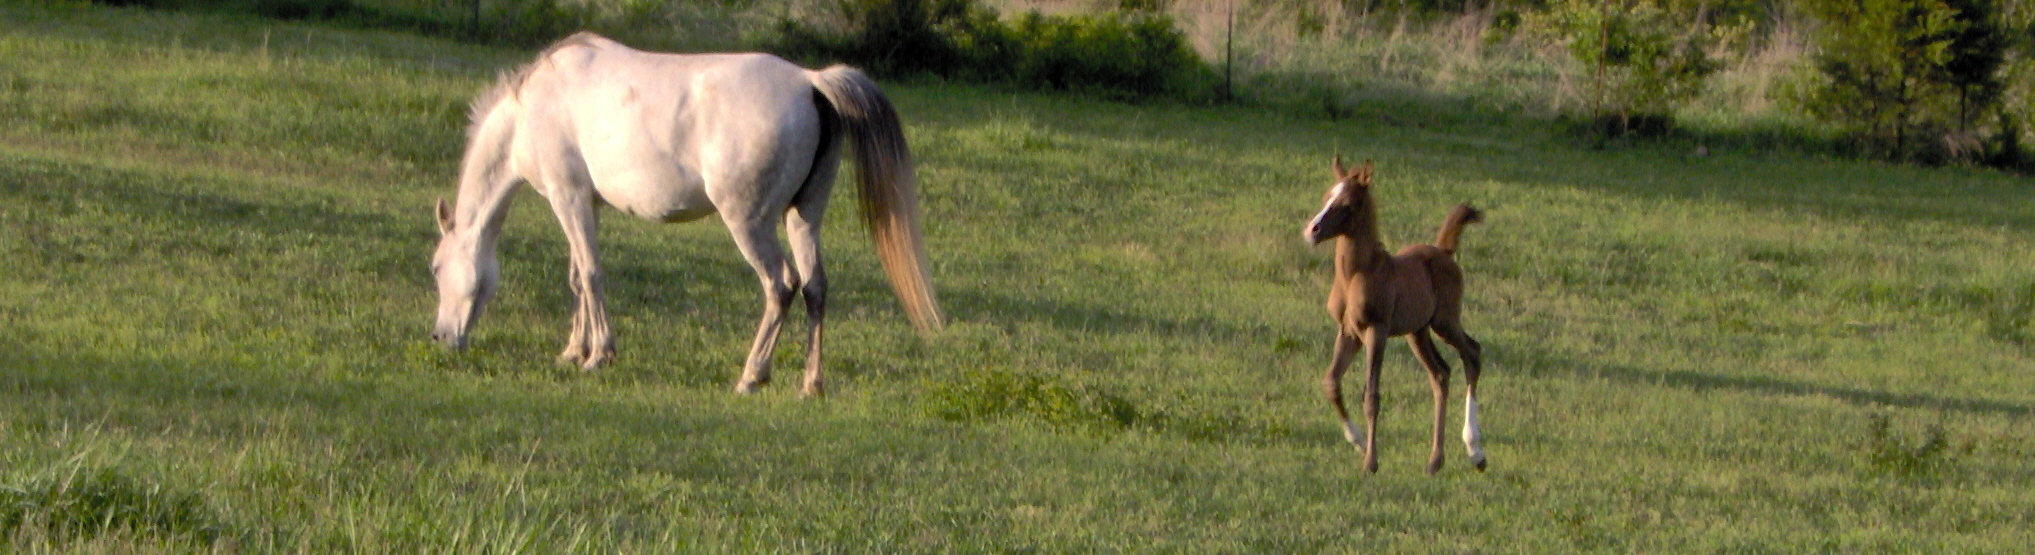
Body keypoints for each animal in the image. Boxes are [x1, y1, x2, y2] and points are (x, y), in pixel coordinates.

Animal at [428, 33, 943, 397]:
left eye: (435, 267)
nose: (440, 337)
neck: (531, 109)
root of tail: (809, 82)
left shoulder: (567, 197)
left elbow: (591, 274)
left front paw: (599, 355)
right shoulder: (584, 204)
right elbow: (578, 277)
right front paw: (574, 350)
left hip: (750, 224)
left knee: (781, 286)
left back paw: (751, 376)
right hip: (803, 218)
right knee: (815, 288)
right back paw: (810, 385)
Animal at [1302, 156, 1485, 474]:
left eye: (1348, 204)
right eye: (1327, 197)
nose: (1312, 230)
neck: (1355, 274)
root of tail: (1445, 252)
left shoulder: (1377, 331)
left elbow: (1371, 396)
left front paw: (1371, 462)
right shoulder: (1348, 332)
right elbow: (1331, 383)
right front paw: (1359, 441)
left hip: (1445, 322)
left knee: (1472, 354)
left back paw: (1475, 451)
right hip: (1418, 332)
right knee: (1440, 374)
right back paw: (1435, 461)